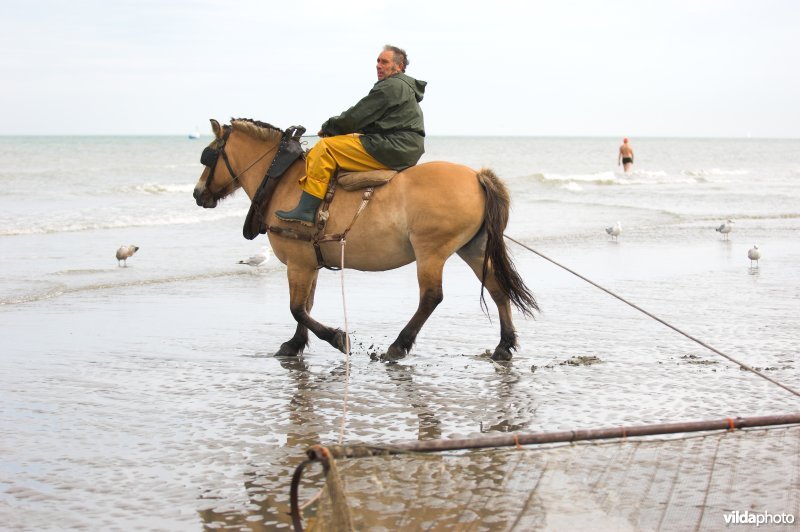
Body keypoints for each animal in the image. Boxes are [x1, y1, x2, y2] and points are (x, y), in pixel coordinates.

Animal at [192, 118, 537, 361]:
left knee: (431, 297)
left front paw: (336, 337)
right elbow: (305, 306)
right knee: (496, 288)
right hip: (474, 247)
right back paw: (504, 345)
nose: (197, 193)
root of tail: (477, 176)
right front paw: (294, 344)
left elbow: (297, 308)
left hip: (431, 251)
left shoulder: (298, 262)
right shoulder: (308, 262)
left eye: (208, 156)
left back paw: (398, 346)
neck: (283, 180)